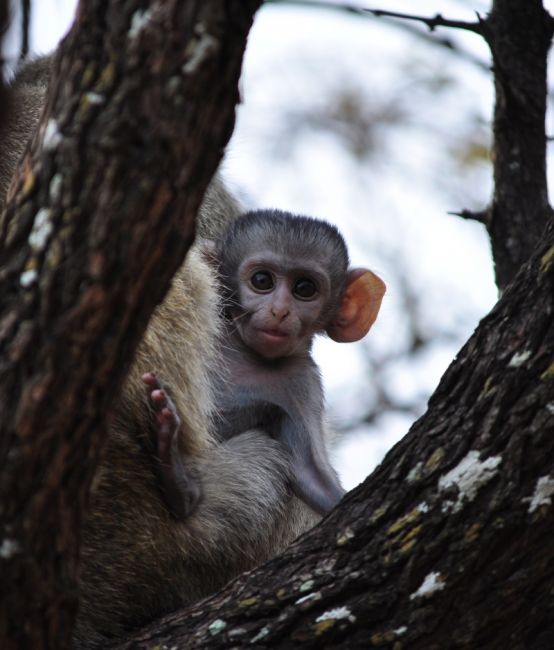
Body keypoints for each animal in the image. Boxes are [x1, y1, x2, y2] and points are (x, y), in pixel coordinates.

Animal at [142, 210, 384, 520]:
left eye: (304, 288)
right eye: (261, 280)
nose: (279, 311)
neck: (250, 354)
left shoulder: (303, 380)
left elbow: (310, 474)